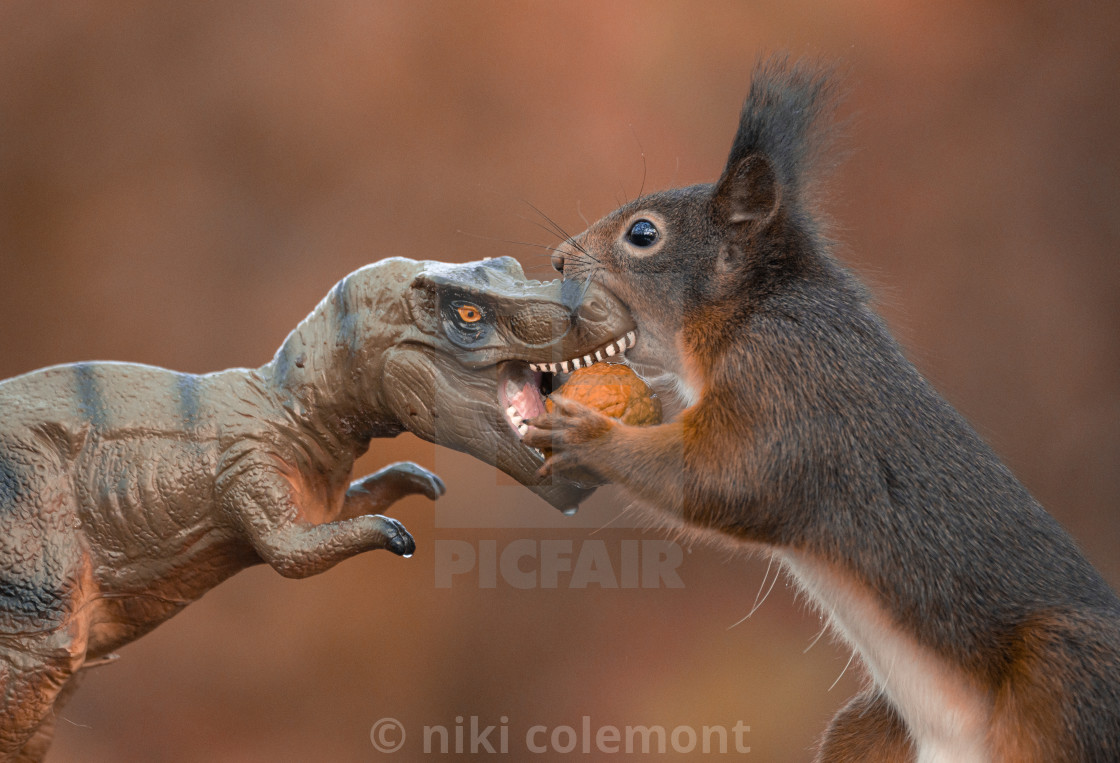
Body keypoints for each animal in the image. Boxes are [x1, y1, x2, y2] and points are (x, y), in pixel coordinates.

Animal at [521, 59, 1120, 761]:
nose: (559, 258)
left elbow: (728, 478)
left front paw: (588, 435)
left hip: (1065, 672)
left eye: (643, 235)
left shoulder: (791, 384)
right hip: (875, 726)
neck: (757, 304)